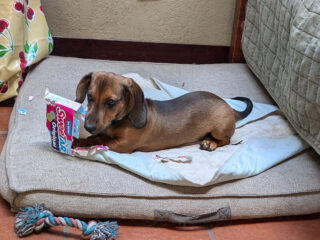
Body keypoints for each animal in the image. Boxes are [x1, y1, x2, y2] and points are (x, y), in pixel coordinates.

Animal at [72, 71, 252, 154]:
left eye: (111, 102)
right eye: (90, 97)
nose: (88, 126)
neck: (122, 119)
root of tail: (228, 106)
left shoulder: (122, 145)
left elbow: (100, 140)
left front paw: (80, 142)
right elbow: (95, 137)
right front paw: (79, 140)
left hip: (219, 129)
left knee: (227, 140)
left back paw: (211, 143)